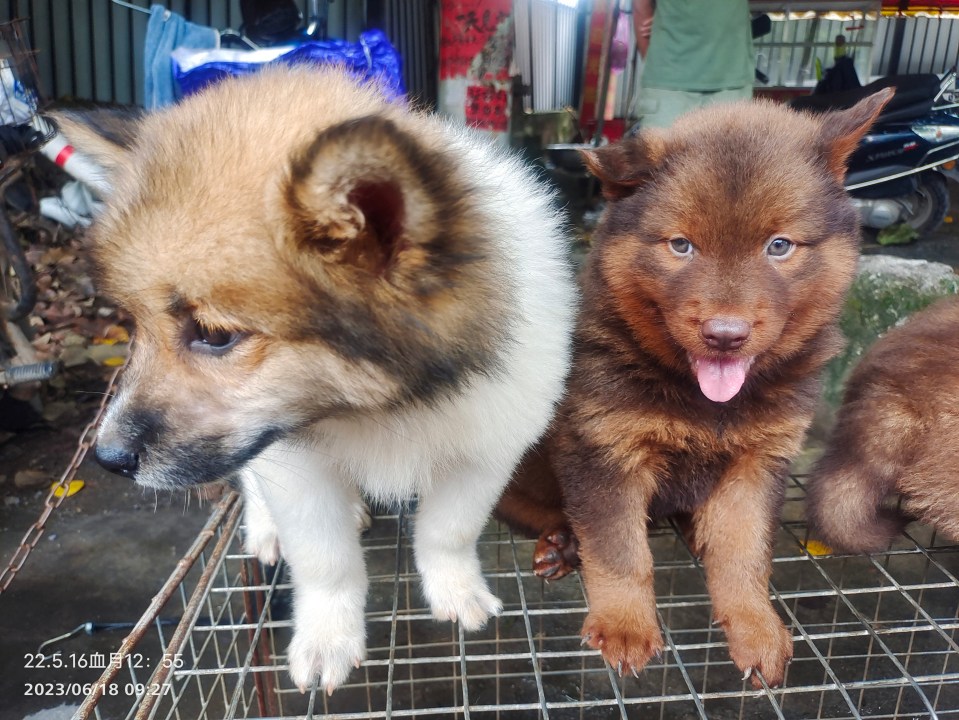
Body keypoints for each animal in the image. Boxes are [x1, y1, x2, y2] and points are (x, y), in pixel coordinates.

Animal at [498, 88, 896, 688]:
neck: (706, 402)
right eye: (681, 246)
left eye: (779, 245)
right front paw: (625, 626)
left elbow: (744, 550)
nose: (724, 335)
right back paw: (563, 544)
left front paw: (755, 626)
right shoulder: (604, 449)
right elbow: (619, 550)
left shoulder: (759, 458)